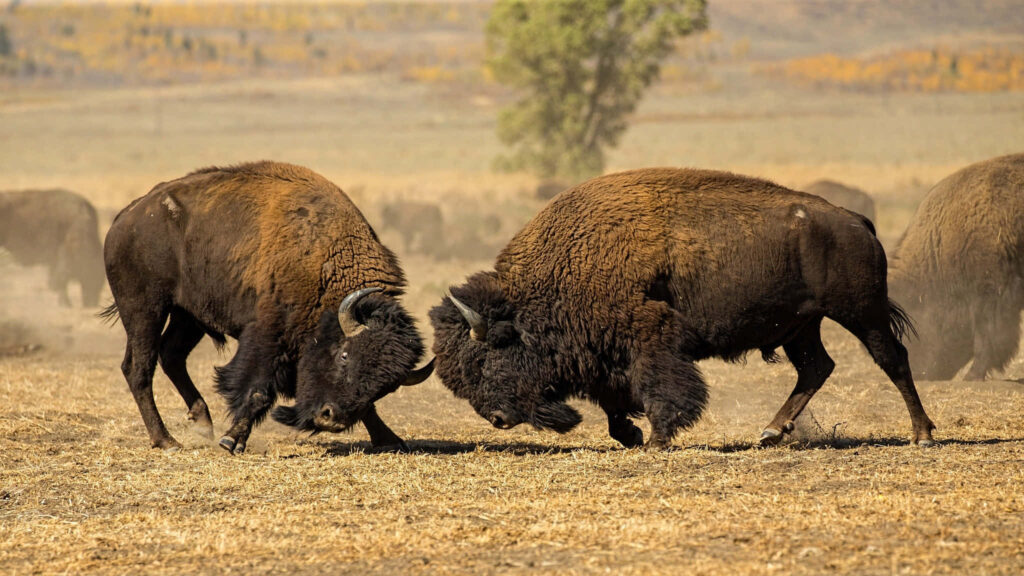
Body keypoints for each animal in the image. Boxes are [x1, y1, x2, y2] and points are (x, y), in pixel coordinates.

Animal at [102, 161, 433, 453]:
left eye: (386, 386)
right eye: (344, 355)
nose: (330, 419)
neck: (327, 263)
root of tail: (126, 218)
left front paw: (389, 439)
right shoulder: (267, 336)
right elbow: (257, 391)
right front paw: (231, 441)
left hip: (188, 316)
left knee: (171, 355)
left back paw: (202, 423)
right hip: (146, 309)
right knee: (139, 368)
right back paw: (167, 441)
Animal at [431, 168, 935, 449]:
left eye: (484, 359)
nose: (497, 420)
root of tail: (857, 221)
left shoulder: (649, 340)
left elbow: (659, 388)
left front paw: (656, 439)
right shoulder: (605, 355)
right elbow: (613, 400)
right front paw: (632, 436)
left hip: (860, 312)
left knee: (893, 359)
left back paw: (922, 434)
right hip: (802, 326)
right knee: (815, 368)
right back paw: (771, 432)